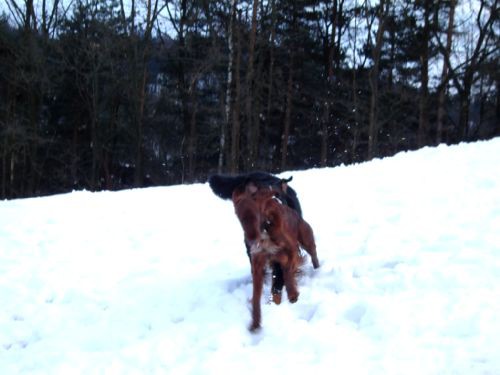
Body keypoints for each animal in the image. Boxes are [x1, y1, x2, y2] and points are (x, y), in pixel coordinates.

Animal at [231, 182, 318, 332]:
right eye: (240, 218)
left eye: (255, 215)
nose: (250, 240)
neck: (265, 229)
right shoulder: (258, 263)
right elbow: (256, 297)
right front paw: (255, 322)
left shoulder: (291, 250)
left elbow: (287, 272)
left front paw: (292, 294)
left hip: (306, 239)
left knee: (314, 255)